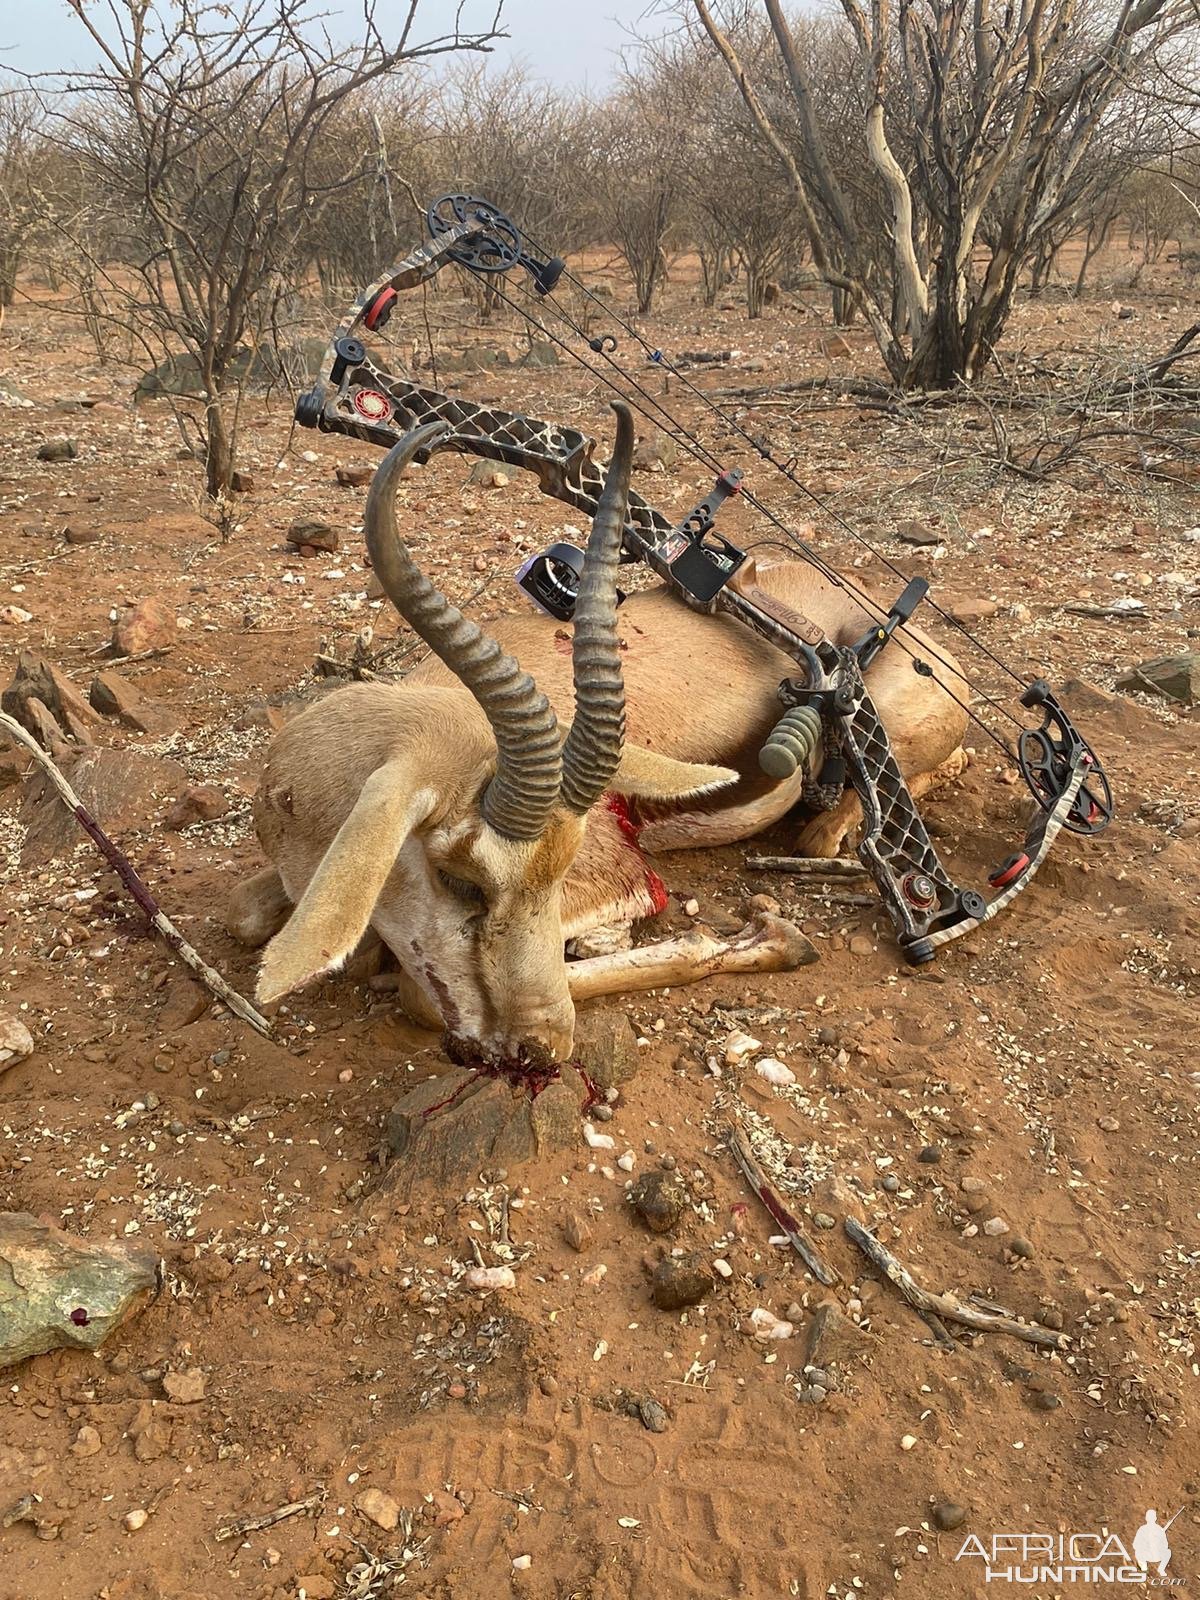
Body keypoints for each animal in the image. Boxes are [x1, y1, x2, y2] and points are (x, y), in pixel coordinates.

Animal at [232, 403, 966, 1062]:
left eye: (564, 868)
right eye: (462, 882)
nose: (544, 1049)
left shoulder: (617, 878)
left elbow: (421, 996)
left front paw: (772, 934)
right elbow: (247, 915)